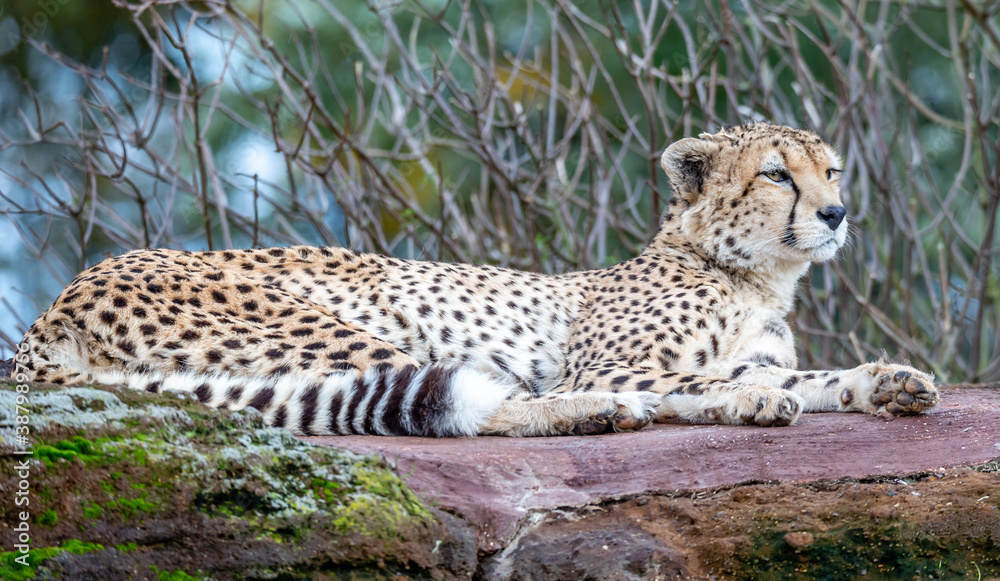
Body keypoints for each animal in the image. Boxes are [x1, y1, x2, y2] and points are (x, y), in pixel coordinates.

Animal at [17, 122, 939, 437]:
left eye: (832, 169)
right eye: (779, 175)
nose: (837, 213)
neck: (751, 273)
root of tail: (55, 301)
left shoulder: (761, 349)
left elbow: (813, 376)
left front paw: (888, 381)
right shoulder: (615, 361)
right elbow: (694, 381)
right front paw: (744, 399)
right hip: (330, 325)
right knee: (470, 405)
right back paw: (586, 414)